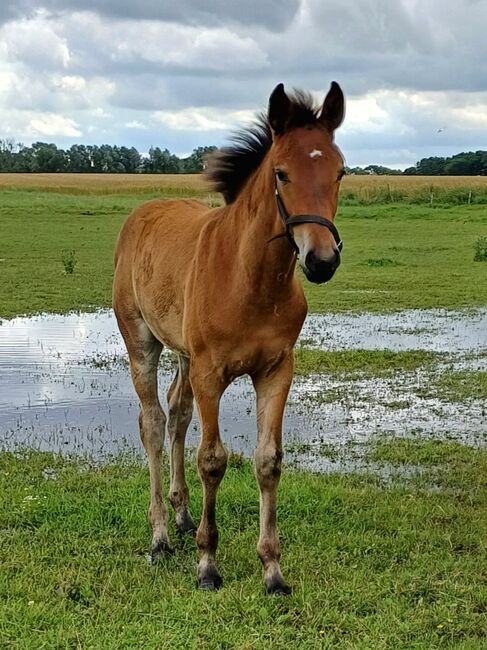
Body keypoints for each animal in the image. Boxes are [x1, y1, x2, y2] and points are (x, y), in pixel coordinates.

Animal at [112, 81, 346, 592]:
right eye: (281, 173)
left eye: (340, 171)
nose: (321, 260)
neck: (251, 282)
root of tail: (144, 212)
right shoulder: (211, 373)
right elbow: (213, 460)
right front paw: (208, 565)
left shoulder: (277, 370)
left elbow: (268, 460)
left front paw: (273, 570)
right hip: (142, 342)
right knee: (153, 422)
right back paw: (161, 536)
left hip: (184, 355)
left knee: (177, 414)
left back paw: (182, 517)